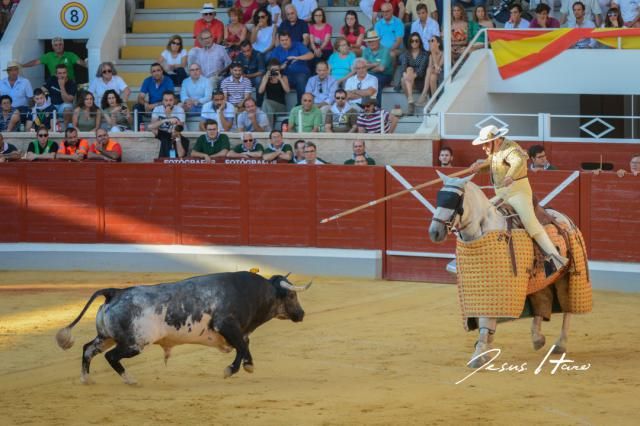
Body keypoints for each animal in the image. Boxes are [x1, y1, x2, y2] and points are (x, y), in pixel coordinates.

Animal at [56, 272, 312, 386]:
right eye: (291, 295)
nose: (301, 314)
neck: (258, 293)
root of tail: (115, 292)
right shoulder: (226, 325)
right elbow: (241, 346)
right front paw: (231, 369)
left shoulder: (235, 330)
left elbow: (244, 345)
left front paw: (248, 365)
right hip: (133, 343)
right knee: (111, 357)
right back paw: (130, 379)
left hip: (106, 336)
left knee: (88, 349)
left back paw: (86, 379)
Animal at [430, 171, 576, 368]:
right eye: (439, 197)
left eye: (455, 200)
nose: (434, 232)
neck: (482, 229)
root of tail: (563, 217)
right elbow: (485, 320)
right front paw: (486, 350)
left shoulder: (495, 287)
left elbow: (486, 319)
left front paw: (478, 355)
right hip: (540, 279)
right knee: (542, 300)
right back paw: (537, 338)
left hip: (566, 276)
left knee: (567, 307)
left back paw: (560, 344)